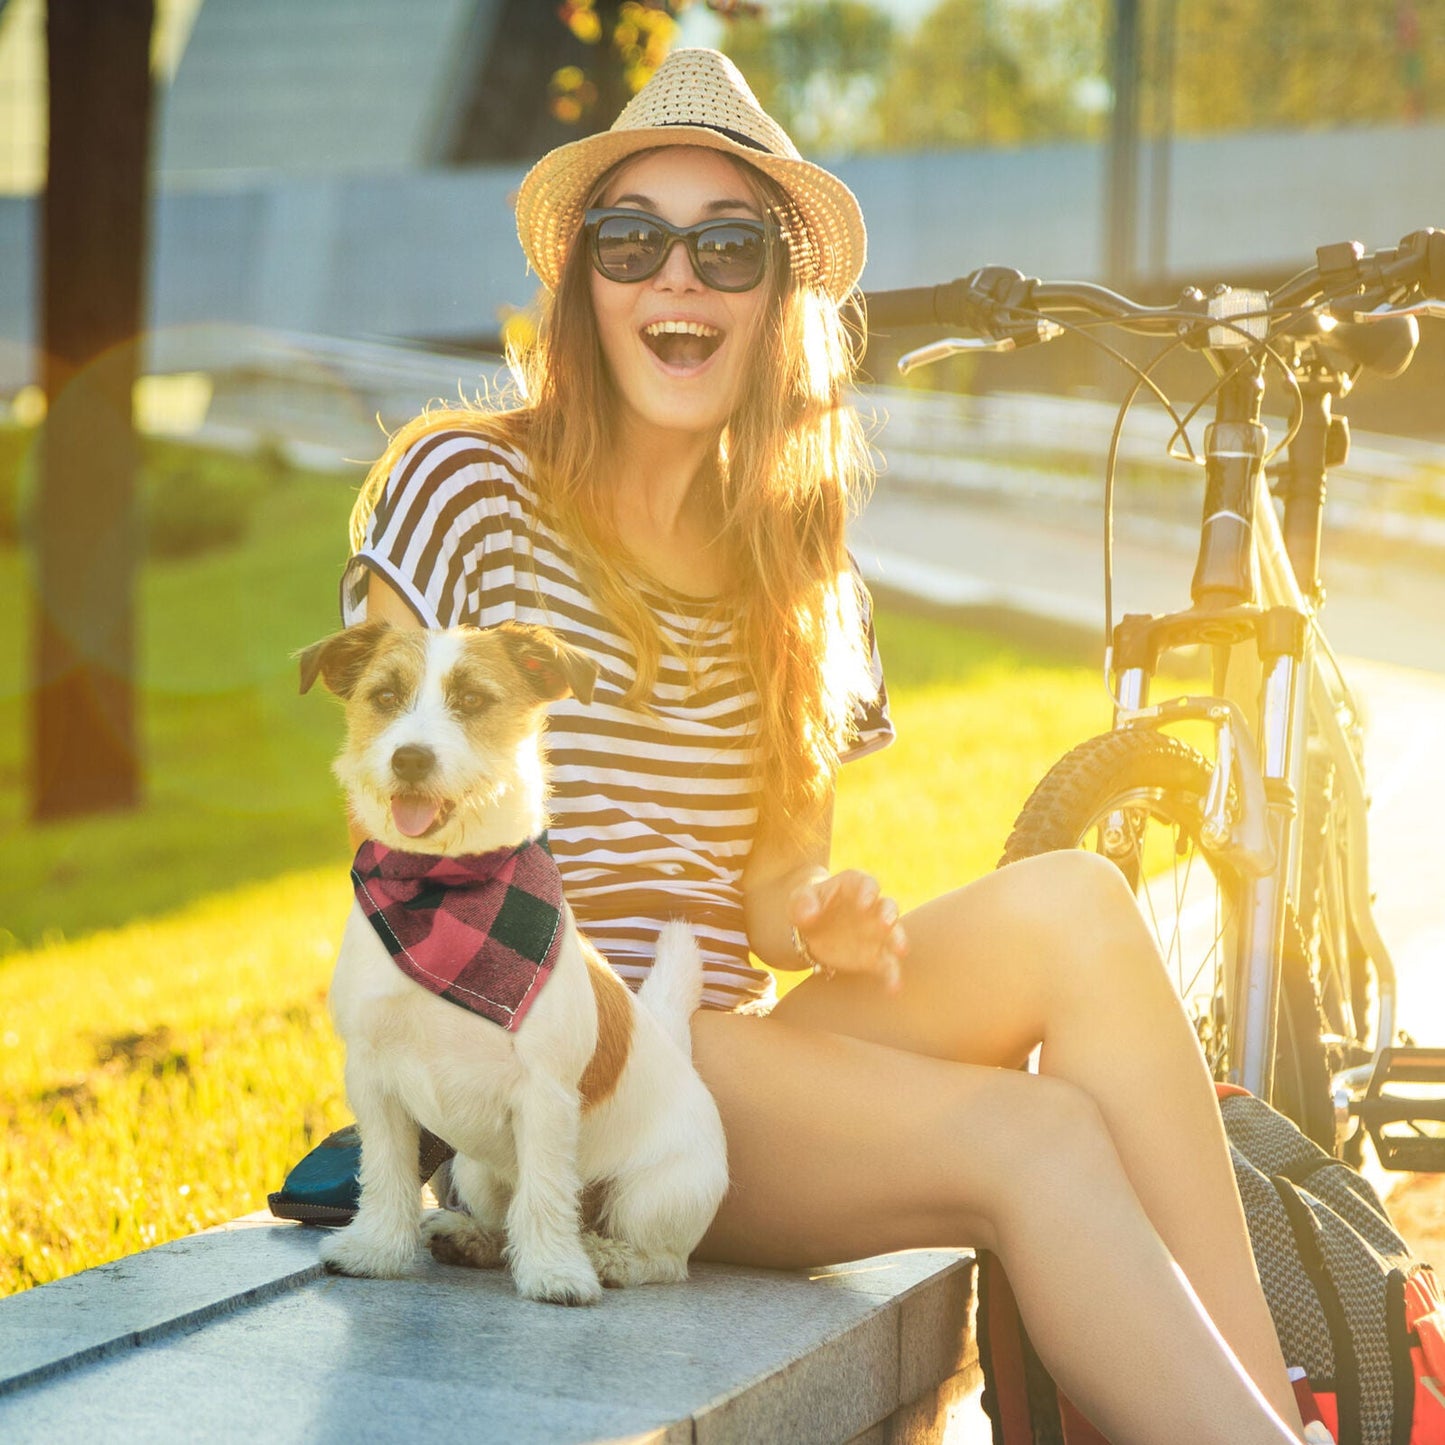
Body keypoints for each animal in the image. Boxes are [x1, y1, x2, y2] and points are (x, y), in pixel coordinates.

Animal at [306, 615, 734, 1306]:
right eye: (385, 696)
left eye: (473, 699)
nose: (409, 757)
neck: (443, 893)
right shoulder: (374, 1080)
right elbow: (388, 1173)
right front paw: (375, 1250)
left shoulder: (546, 1095)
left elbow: (546, 1193)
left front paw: (556, 1273)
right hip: (476, 1168)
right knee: (502, 1212)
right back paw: (473, 1240)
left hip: (658, 1193)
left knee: (660, 1257)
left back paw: (605, 1257)